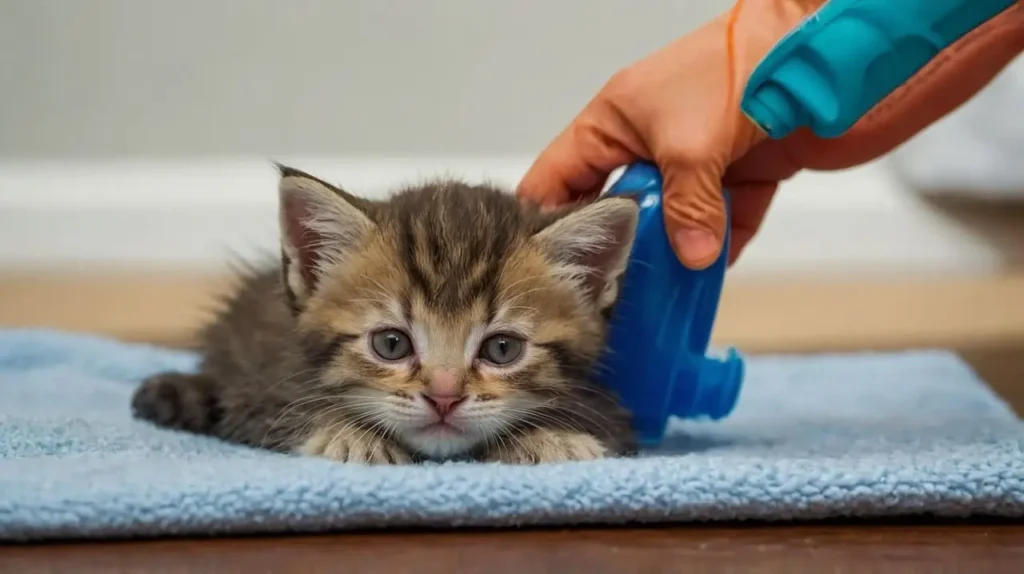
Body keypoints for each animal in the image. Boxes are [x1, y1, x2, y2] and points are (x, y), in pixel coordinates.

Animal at [131, 163, 634, 462]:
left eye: (502, 349)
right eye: (391, 344)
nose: (444, 398)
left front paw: (550, 437)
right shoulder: (260, 388)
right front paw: (350, 436)